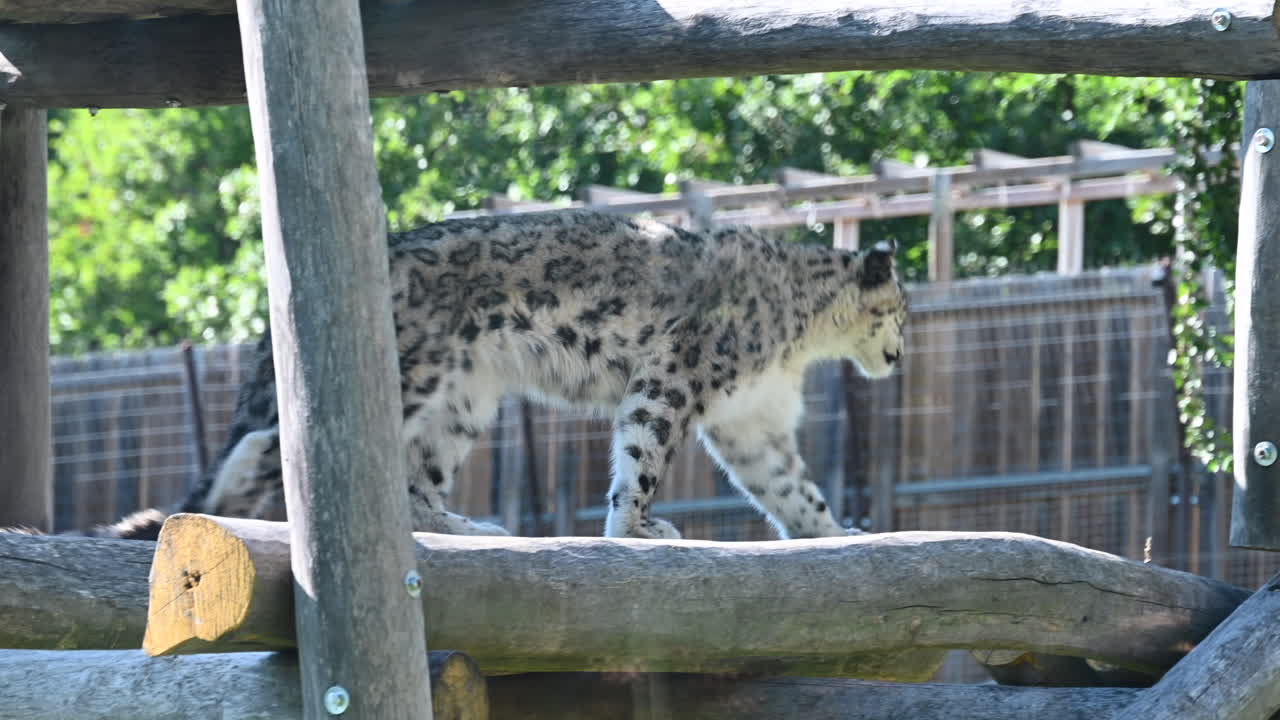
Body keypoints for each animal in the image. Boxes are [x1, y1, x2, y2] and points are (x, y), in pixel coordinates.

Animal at [92, 210, 907, 541]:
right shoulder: (674, 376)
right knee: (283, 450)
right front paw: (638, 527)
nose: (902, 356)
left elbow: (791, 487)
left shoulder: (753, 422)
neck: (800, 342)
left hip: (461, 402)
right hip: (412, 378)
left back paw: (467, 523)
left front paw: (835, 531)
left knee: (413, 483)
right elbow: (642, 455)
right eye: (900, 309)